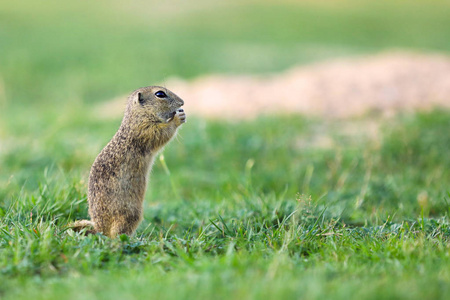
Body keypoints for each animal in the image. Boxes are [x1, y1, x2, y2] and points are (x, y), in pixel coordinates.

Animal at [73, 85, 185, 238]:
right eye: (160, 94)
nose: (182, 102)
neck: (138, 116)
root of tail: (100, 228)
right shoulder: (146, 130)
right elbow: (162, 133)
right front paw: (178, 118)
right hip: (132, 214)